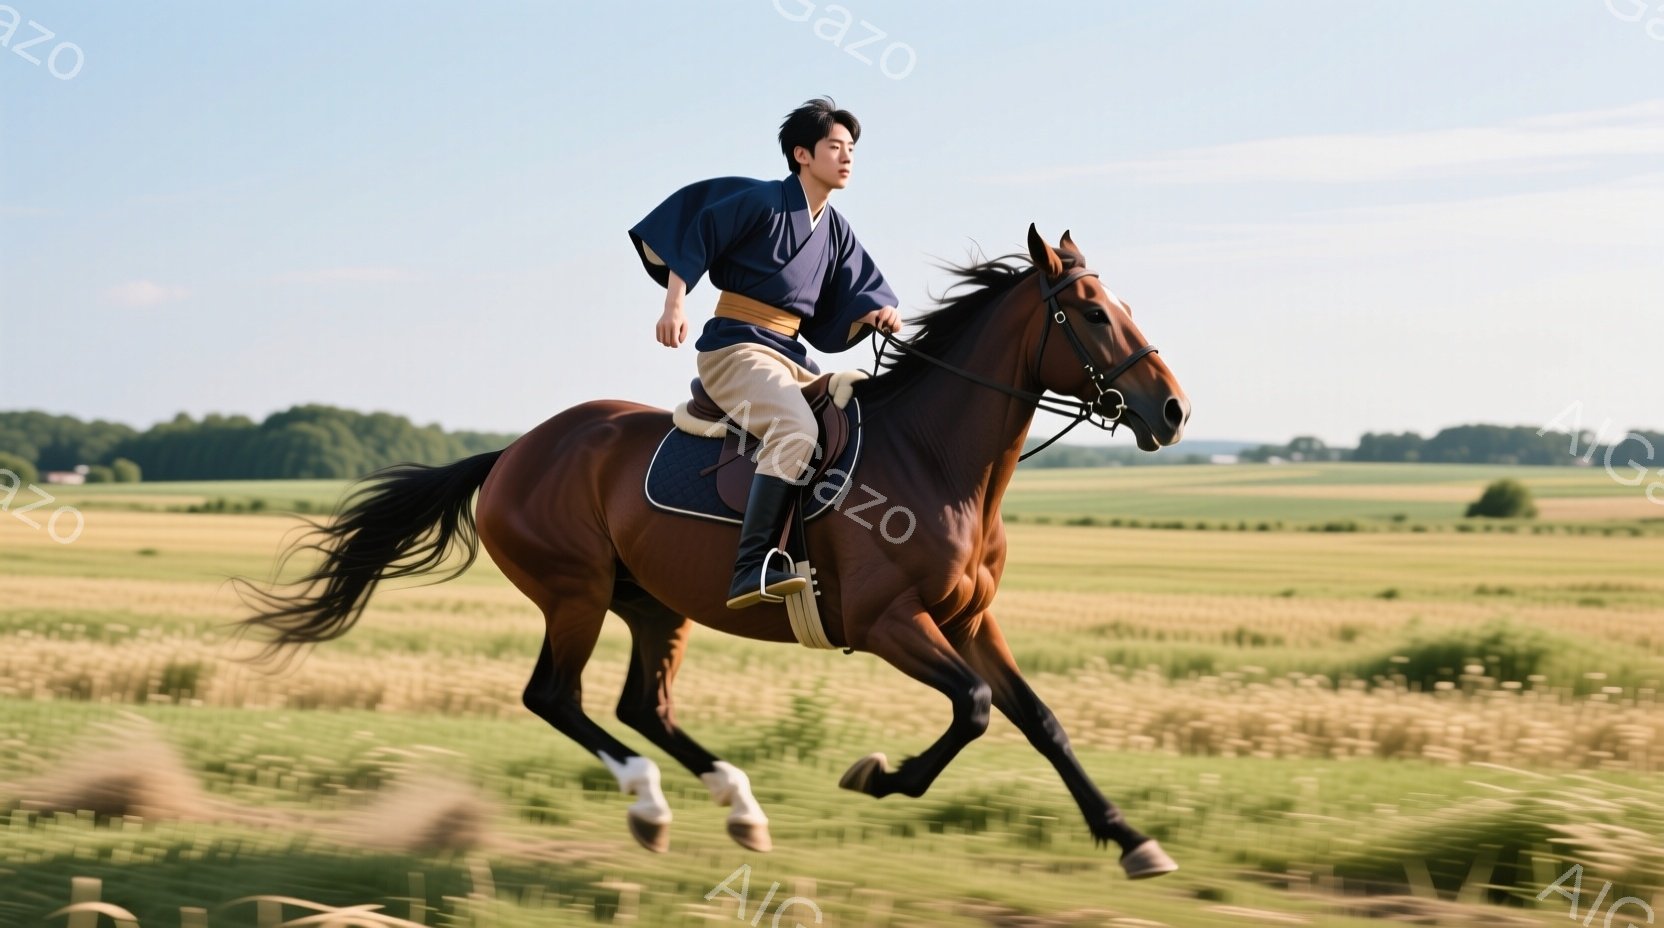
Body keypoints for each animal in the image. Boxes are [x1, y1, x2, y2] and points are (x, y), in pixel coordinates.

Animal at [235, 225, 1192, 878]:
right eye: (1093, 314)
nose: (1175, 410)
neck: (935, 457)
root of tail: (513, 451)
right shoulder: (889, 622)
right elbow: (976, 709)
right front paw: (878, 776)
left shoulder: (969, 619)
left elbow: (1039, 719)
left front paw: (1132, 839)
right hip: (576, 594)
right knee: (556, 697)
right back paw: (651, 802)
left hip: (653, 604)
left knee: (641, 706)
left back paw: (737, 806)